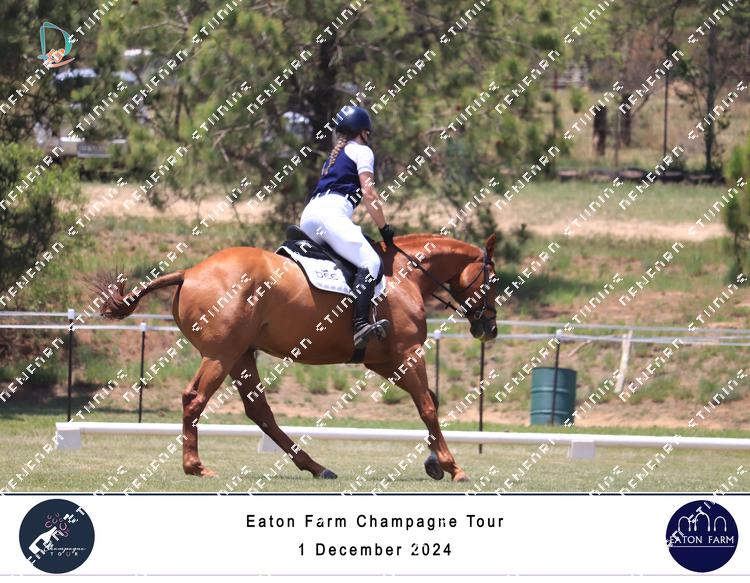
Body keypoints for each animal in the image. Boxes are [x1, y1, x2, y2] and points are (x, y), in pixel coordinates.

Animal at [95, 233, 499, 483]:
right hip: (221, 355)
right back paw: (196, 467)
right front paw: (452, 466)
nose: (490, 329)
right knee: (195, 399)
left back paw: (315, 467)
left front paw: (434, 462)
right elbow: (427, 406)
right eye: (493, 282)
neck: (404, 276)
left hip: (241, 355)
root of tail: (189, 272)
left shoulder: (385, 361)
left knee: (260, 412)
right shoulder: (407, 353)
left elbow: (428, 400)